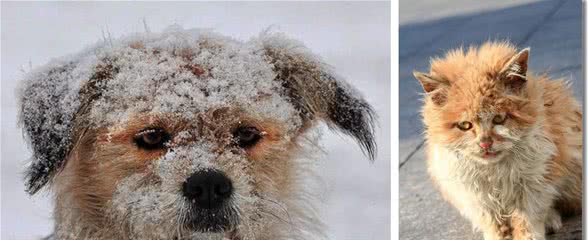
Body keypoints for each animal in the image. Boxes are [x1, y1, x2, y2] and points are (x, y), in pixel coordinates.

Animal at [414, 41, 584, 240]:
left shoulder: (534, 186)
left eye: (499, 119)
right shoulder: (477, 198)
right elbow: (494, 225)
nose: (485, 143)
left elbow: (527, 221)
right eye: (465, 125)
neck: (495, 173)